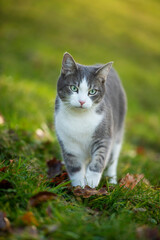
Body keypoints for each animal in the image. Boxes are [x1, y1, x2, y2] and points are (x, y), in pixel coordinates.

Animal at [54, 52, 127, 188]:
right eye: (73, 88)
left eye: (92, 91)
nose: (82, 101)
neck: (80, 118)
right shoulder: (68, 143)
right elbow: (75, 168)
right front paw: (80, 187)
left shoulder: (104, 134)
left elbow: (100, 157)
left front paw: (91, 182)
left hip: (118, 129)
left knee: (113, 158)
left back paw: (112, 180)